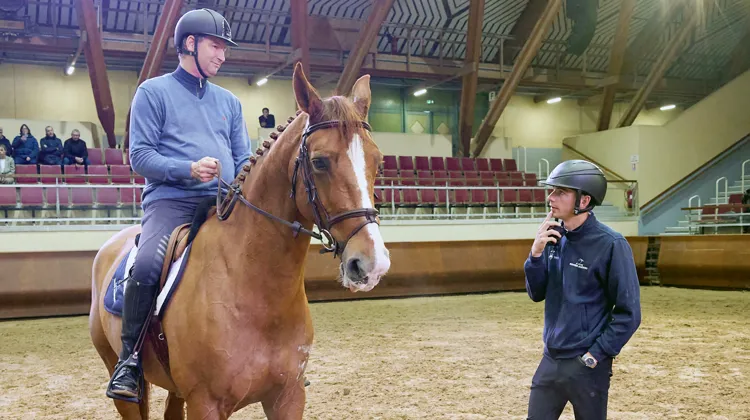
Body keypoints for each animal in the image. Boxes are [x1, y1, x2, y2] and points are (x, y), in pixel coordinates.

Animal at [89, 62, 391, 419]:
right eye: (319, 161)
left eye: (377, 160)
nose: (372, 263)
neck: (254, 289)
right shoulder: (206, 403)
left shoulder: (288, 396)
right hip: (122, 383)